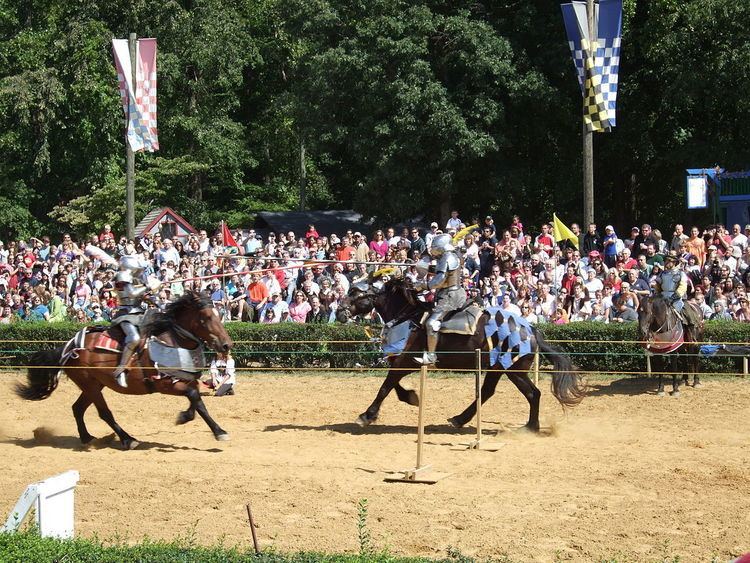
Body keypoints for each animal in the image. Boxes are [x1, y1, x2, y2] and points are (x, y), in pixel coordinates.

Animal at [16, 290, 235, 450]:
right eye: (206, 317)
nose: (226, 345)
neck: (171, 340)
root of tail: (68, 347)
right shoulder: (165, 384)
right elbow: (194, 397)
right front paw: (214, 429)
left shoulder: (185, 380)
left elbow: (197, 401)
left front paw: (194, 421)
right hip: (90, 385)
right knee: (104, 413)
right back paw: (127, 439)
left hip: (94, 385)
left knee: (77, 408)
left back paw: (87, 438)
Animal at [338, 278, 592, 432]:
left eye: (355, 292)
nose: (340, 312)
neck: (408, 317)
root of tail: (530, 330)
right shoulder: (403, 362)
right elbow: (394, 385)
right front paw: (411, 397)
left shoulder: (405, 361)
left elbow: (385, 386)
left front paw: (367, 415)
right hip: (501, 369)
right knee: (497, 392)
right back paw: (466, 419)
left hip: (512, 370)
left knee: (528, 393)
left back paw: (527, 427)